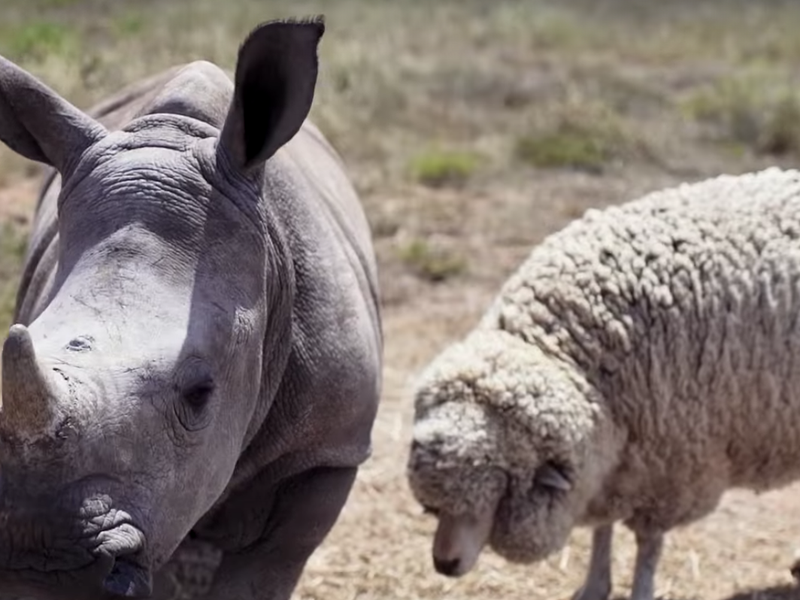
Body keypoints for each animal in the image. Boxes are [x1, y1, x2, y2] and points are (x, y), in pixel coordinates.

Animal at [406, 166, 800, 600]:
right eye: (434, 505)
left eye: (497, 490)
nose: (444, 564)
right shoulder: (611, 467)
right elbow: (602, 529)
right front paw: (594, 584)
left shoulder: (668, 472)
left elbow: (648, 544)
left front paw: (640, 589)